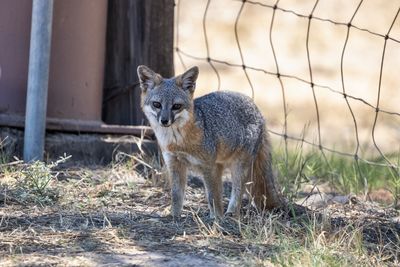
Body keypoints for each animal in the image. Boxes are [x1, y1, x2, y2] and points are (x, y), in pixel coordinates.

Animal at [138, 65, 284, 220]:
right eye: (157, 104)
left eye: (176, 106)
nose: (164, 121)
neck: (177, 142)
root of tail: (258, 110)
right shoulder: (175, 164)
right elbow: (176, 196)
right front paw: (174, 216)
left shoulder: (208, 166)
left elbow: (212, 196)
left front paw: (217, 219)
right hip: (220, 166)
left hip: (238, 166)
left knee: (238, 191)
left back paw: (231, 213)